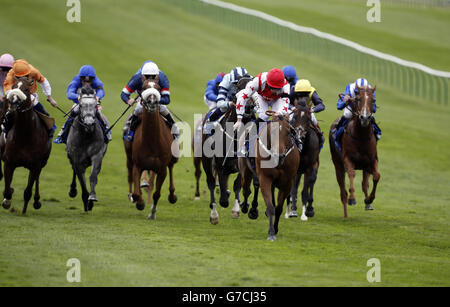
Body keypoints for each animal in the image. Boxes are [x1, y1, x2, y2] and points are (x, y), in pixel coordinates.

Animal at [0, 77, 52, 214]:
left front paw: (24, 209)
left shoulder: (35, 165)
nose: (13, 101)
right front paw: (7, 200)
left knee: (37, 179)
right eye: (13, 87)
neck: (24, 135)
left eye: (27, 89)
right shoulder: (9, 162)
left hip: (42, 163)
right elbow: (7, 189)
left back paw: (37, 201)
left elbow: (28, 191)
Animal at [66, 85, 108, 213]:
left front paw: (92, 198)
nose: (89, 124)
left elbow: (93, 176)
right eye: (81, 105)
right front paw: (85, 200)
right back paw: (73, 190)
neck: (86, 135)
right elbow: (81, 180)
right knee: (75, 172)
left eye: (95, 105)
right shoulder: (76, 159)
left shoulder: (97, 155)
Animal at [125, 79, 179, 219]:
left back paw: (172, 195)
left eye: (159, 88)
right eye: (144, 87)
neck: (152, 142)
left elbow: (157, 193)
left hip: (171, 158)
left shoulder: (162, 168)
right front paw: (139, 202)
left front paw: (152, 213)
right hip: (129, 157)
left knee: (171, 167)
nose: (153, 101)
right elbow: (137, 192)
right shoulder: (138, 165)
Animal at [256, 109, 302, 242]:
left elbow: (279, 208)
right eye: (272, 132)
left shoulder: (288, 183)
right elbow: (271, 206)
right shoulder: (264, 178)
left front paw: (275, 229)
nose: (279, 156)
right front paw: (271, 233)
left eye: (289, 132)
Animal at [328, 85, 382, 218]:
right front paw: (352, 198)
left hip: (364, 167)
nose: (365, 118)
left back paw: (368, 204)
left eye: (373, 100)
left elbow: (376, 176)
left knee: (364, 184)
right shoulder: (347, 159)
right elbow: (351, 174)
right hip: (338, 166)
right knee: (343, 192)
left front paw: (369, 199)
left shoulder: (371, 160)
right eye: (358, 99)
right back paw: (346, 214)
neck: (361, 136)